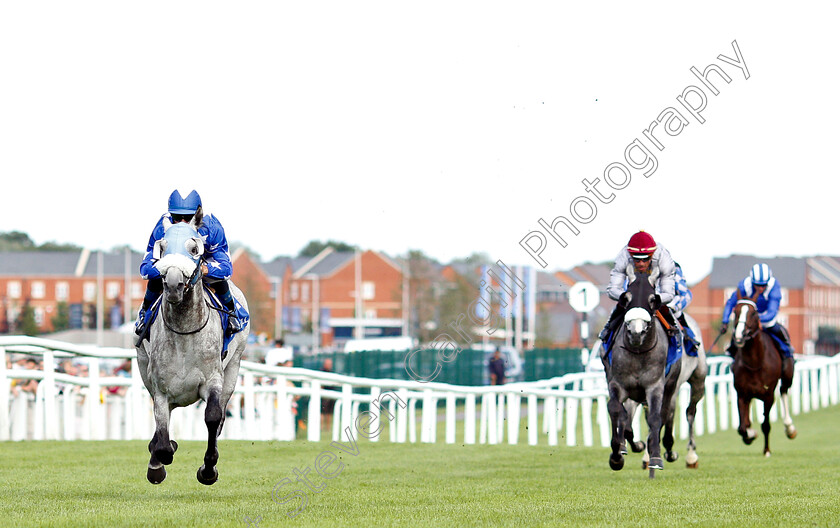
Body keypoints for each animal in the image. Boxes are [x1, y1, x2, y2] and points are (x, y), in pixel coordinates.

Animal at [135, 220, 249, 486]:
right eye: (162, 247)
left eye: (195, 249)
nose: (173, 284)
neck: (185, 330)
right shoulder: (160, 387)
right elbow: (162, 435)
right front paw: (158, 462)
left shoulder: (213, 379)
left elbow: (213, 417)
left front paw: (208, 469)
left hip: (233, 367)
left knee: (220, 418)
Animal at [604, 268, 684, 478]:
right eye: (626, 298)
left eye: (653, 299)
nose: (636, 332)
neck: (638, 352)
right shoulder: (617, 384)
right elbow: (616, 410)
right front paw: (616, 457)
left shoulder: (655, 386)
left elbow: (656, 418)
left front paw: (655, 458)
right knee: (625, 416)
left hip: (671, 386)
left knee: (663, 414)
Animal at [732, 294, 796, 456]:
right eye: (735, 312)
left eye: (754, 313)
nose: (739, 336)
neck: (755, 363)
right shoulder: (742, 393)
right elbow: (742, 427)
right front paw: (750, 434)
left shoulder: (768, 396)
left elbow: (766, 424)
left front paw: (766, 450)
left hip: (787, 376)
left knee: (784, 391)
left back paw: (789, 428)